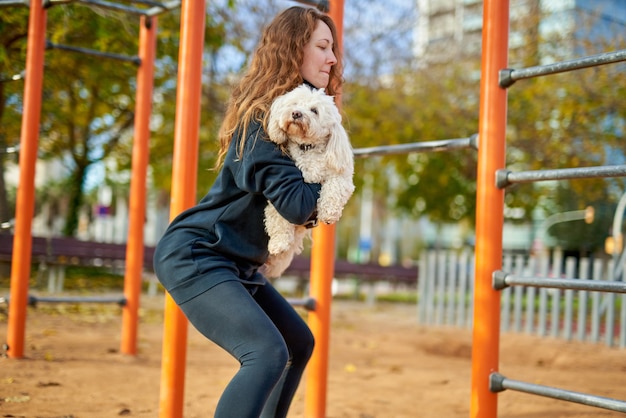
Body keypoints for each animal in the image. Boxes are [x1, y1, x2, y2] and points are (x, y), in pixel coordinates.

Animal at [260, 85, 354, 280]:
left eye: (314, 110)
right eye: (295, 103)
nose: (296, 113)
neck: (307, 148)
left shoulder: (342, 175)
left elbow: (333, 188)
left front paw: (329, 213)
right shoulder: (284, 195)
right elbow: (277, 216)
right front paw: (278, 243)